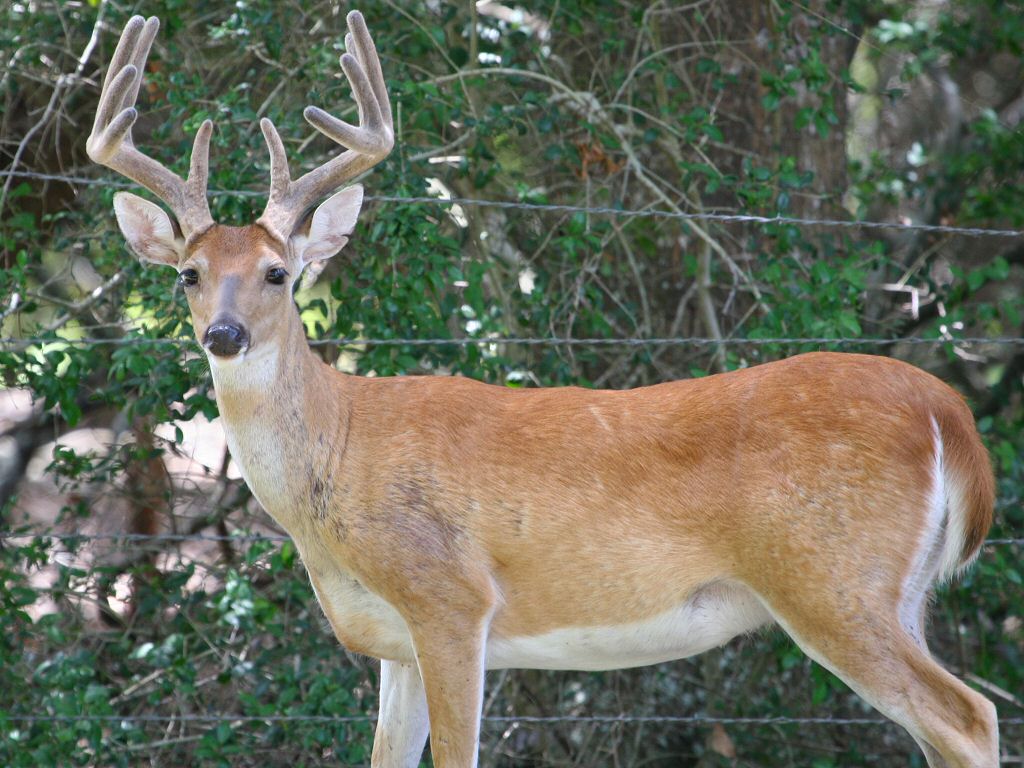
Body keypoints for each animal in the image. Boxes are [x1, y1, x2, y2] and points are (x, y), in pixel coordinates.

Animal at [88, 12, 999, 768]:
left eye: (279, 272)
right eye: (188, 275)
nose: (224, 334)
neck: (340, 460)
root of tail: (948, 413)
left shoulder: (452, 598)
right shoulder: (395, 645)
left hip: (833, 578)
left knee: (970, 717)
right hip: (894, 591)